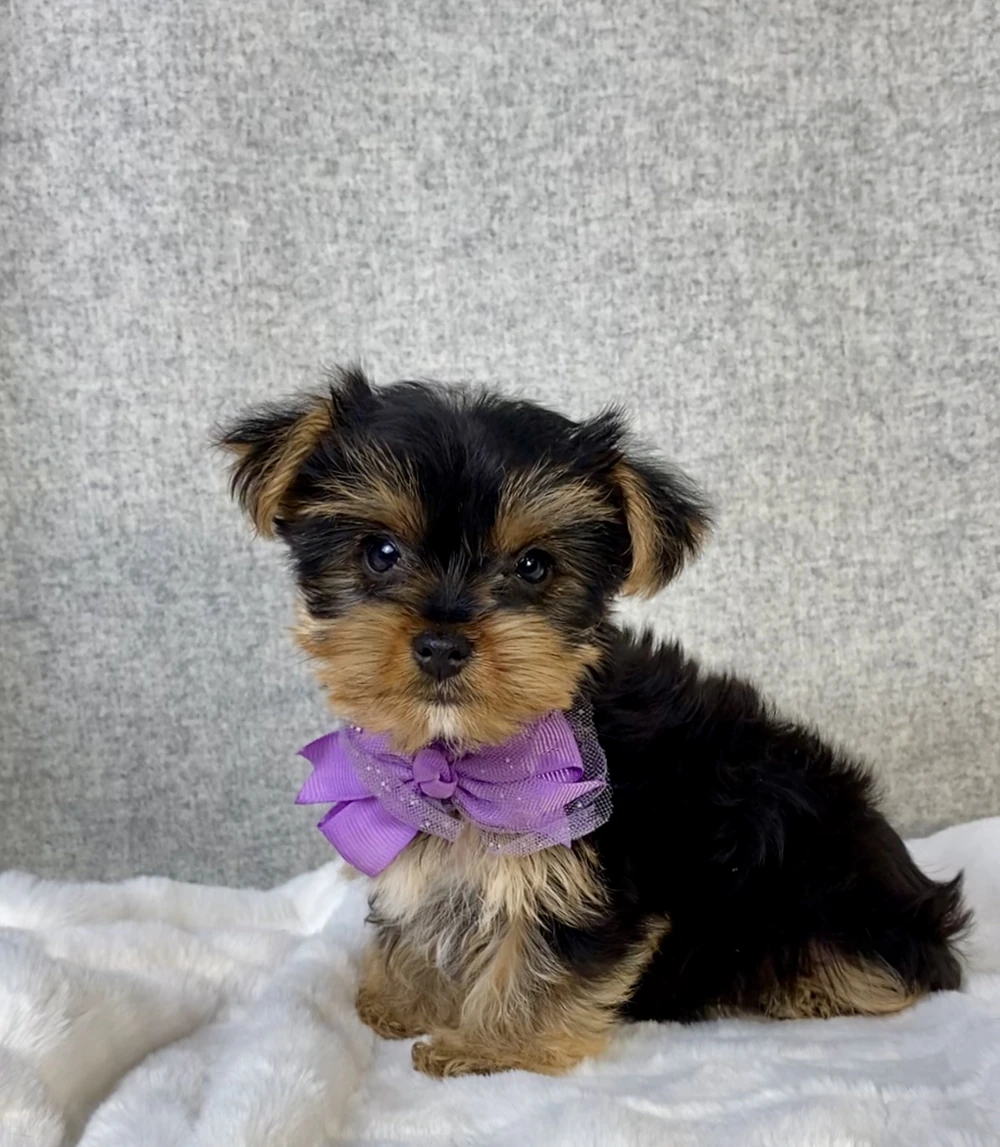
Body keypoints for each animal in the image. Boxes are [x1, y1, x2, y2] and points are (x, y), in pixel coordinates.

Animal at [219, 367, 968, 1078]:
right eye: (379, 552)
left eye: (533, 566)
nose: (442, 643)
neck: (468, 752)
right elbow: (429, 901)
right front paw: (405, 999)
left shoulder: (591, 866)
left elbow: (545, 952)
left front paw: (488, 1047)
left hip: (814, 877)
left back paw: (803, 986)